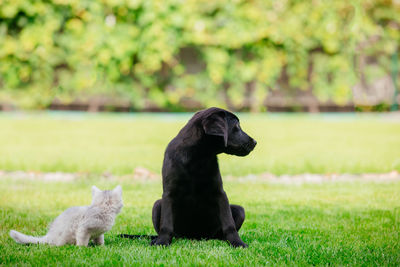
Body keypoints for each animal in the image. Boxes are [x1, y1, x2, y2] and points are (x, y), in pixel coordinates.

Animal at [150, 108, 256, 248]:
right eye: (237, 127)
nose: (255, 142)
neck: (197, 157)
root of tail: (196, 237)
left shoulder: (220, 193)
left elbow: (229, 224)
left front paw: (237, 243)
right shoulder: (168, 193)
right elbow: (166, 224)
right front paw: (162, 242)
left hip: (239, 210)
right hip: (157, 206)